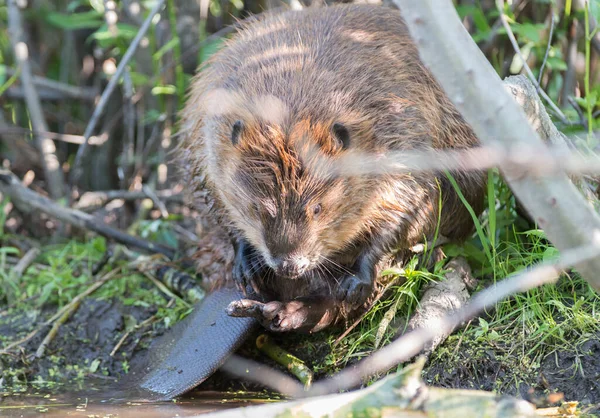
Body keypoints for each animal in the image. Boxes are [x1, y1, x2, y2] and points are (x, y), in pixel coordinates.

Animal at [179, 2, 488, 334]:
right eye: (258, 208)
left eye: (317, 208)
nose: (289, 265)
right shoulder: (207, 139)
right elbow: (214, 199)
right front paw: (246, 266)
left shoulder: (403, 136)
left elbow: (408, 207)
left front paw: (355, 281)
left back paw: (279, 311)